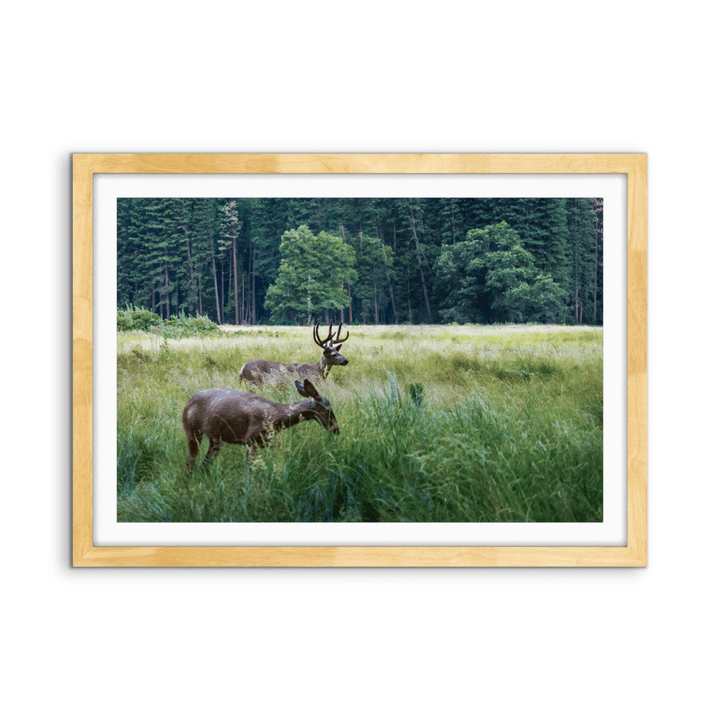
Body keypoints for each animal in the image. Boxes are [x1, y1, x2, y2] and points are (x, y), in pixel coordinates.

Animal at [182, 379, 339, 471]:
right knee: (191, 461)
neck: (276, 417)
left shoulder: (268, 442)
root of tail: (188, 401)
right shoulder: (250, 440)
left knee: (204, 464)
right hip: (191, 430)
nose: (336, 429)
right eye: (328, 410)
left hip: (215, 439)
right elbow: (249, 471)